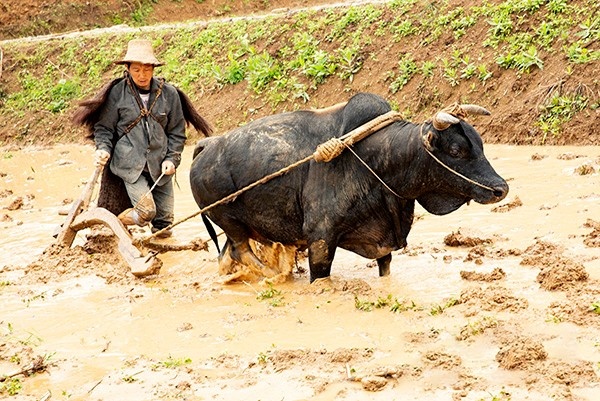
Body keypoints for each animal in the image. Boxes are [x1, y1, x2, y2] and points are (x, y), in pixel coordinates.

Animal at [190, 93, 508, 282]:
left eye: (479, 144)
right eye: (456, 150)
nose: (500, 189)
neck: (377, 161)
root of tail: (206, 146)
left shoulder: (382, 244)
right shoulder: (320, 240)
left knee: (227, 256)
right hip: (229, 221)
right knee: (241, 252)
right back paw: (277, 277)